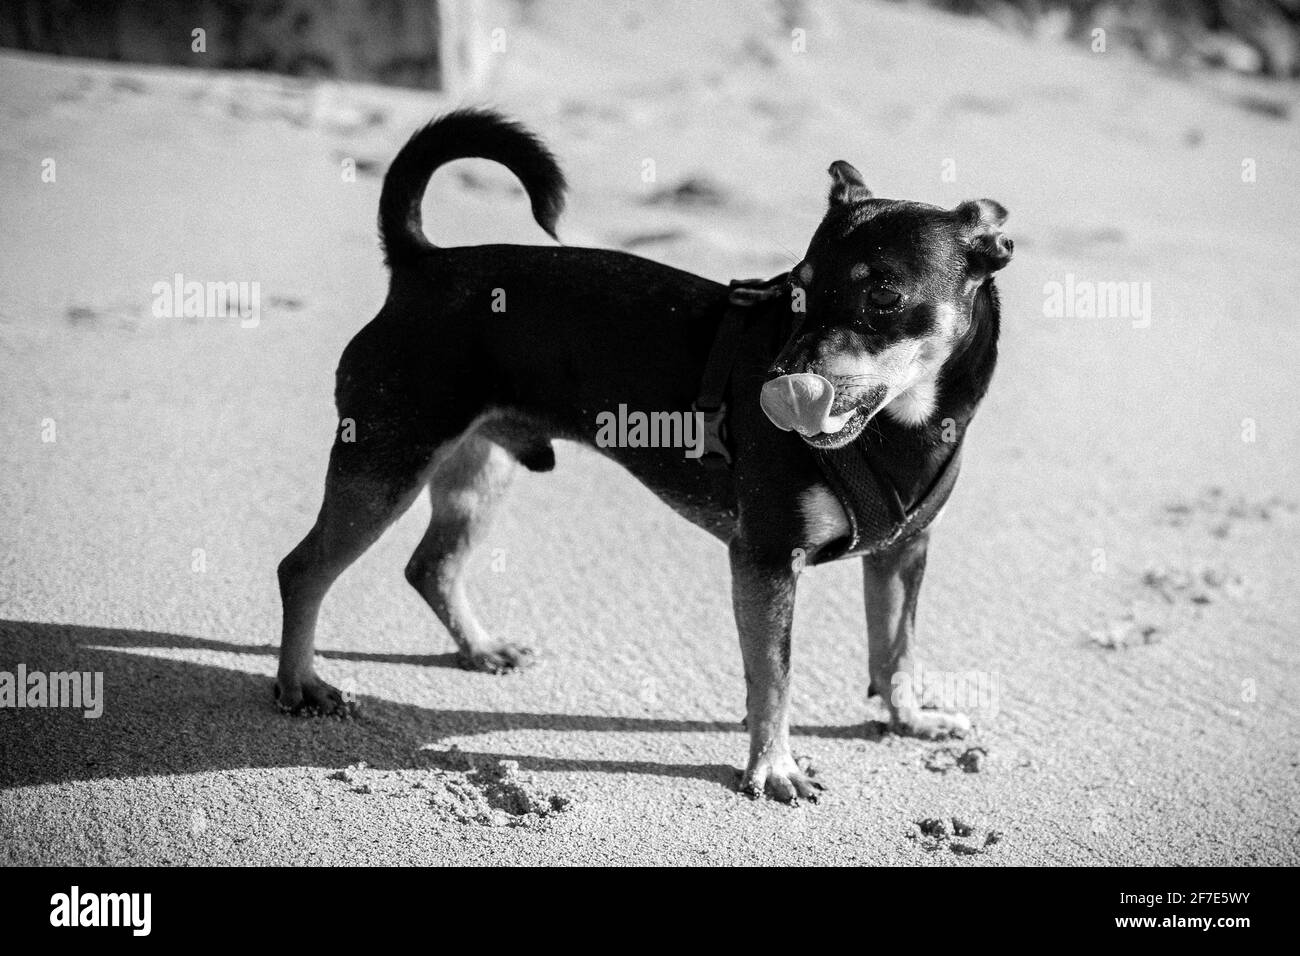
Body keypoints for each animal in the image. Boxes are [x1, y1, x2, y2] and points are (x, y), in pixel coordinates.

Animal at [276, 108, 1013, 806]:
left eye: (884, 295)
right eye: (796, 292)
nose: (776, 380)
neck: (906, 427)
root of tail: (421, 265)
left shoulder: (902, 553)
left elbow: (896, 649)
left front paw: (909, 721)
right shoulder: (767, 559)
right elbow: (773, 677)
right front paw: (774, 767)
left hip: (476, 471)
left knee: (432, 566)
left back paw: (480, 649)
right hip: (386, 466)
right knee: (303, 569)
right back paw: (300, 685)